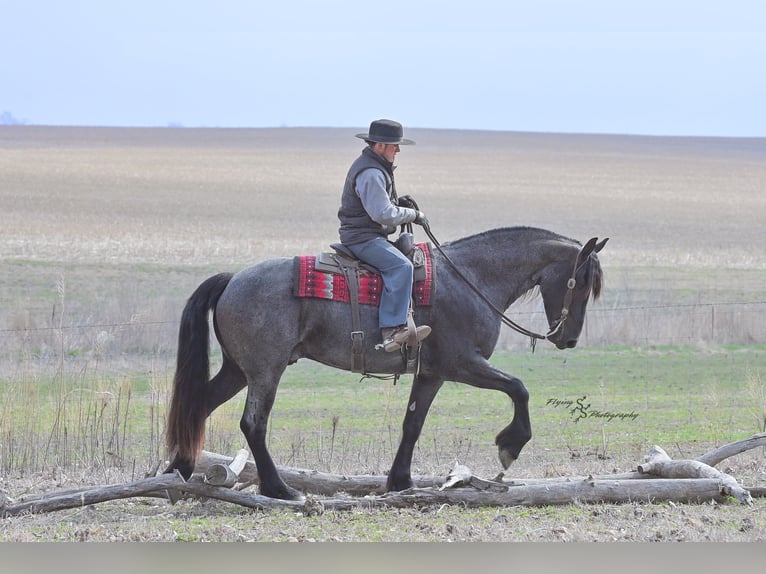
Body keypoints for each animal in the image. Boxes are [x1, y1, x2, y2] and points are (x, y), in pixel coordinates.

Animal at [165, 226, 607, 500]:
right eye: (583, 281)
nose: (568, 339)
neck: (472, 278)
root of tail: (233, 279)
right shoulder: (463, 364)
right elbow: (519, 387)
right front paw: (509, 445)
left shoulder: (431, 374)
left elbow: (413, 424)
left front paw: (400, 481)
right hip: (264, 371)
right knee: (253, 424)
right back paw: (278, 489)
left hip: (237, 370)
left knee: (200, 406)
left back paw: (177, 473)